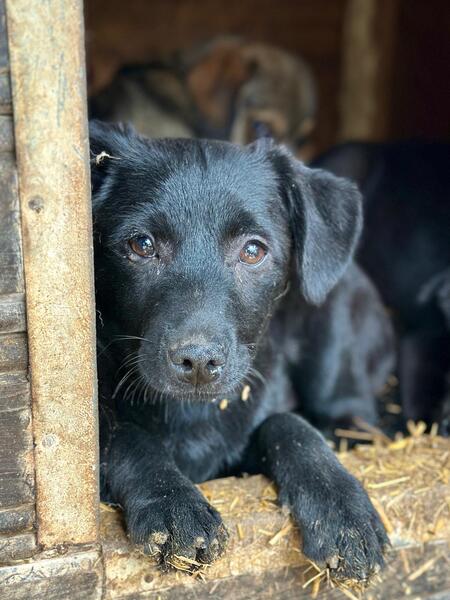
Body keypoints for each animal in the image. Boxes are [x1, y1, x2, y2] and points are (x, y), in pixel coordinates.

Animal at [91, 121, 393, 582]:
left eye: (253, 250)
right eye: (141, 244)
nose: (198, 362)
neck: (191, 414)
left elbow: (288, 424)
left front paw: (343, 510)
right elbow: (124, 437)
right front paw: (174, 504)